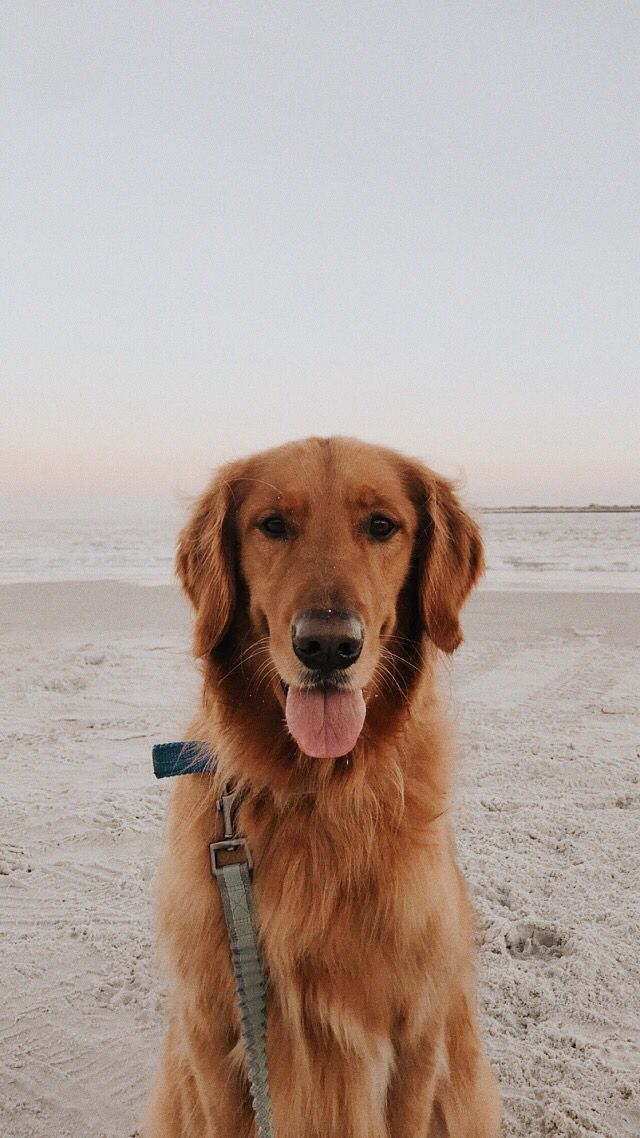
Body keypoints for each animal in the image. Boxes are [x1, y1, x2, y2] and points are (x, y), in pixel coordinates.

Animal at [144, 436, 498, 1138]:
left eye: (382, 526)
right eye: (273, 524)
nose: (329, 646)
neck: (317, 790)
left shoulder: (417, 1037)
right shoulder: (212, 1034)